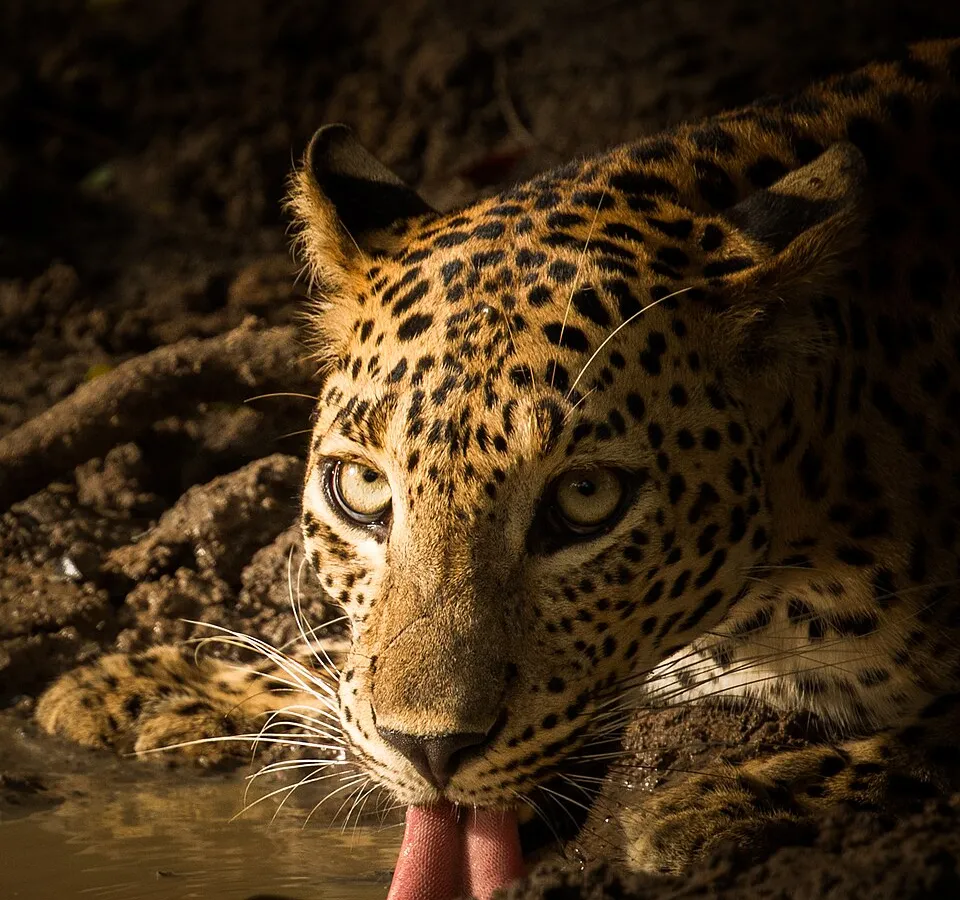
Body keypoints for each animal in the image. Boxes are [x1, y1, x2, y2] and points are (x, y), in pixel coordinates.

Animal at [36, 37, 960, 876]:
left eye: (586, 498)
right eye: (362, 488)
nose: (429, 751)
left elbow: (918, 745)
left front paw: (710, 811)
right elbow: (348, 666)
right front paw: (162, 688)